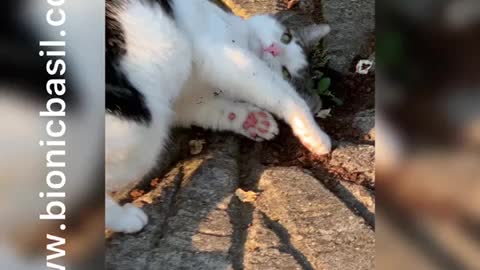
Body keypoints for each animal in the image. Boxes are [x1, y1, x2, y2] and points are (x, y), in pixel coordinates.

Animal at [105, 0, 332, 233]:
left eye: (286, 72)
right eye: (285, 37)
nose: (273, 48)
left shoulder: (187, 102)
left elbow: (210, 110)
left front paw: (253, 121)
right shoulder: (226, 55)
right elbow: (284, 94)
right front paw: (315, 134)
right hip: (139, 135)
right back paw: (126, 219)